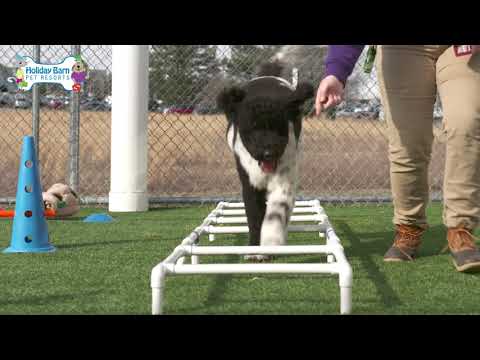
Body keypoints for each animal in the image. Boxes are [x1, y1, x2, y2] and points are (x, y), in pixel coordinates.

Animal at [218, 60, 316, 260]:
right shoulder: (250, 183)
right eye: (251, 129)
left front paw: (271, 242)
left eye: (279, 128)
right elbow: (255, 216)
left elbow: (276, 211)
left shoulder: (285, 180)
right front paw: (255, 251)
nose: (267, 153)